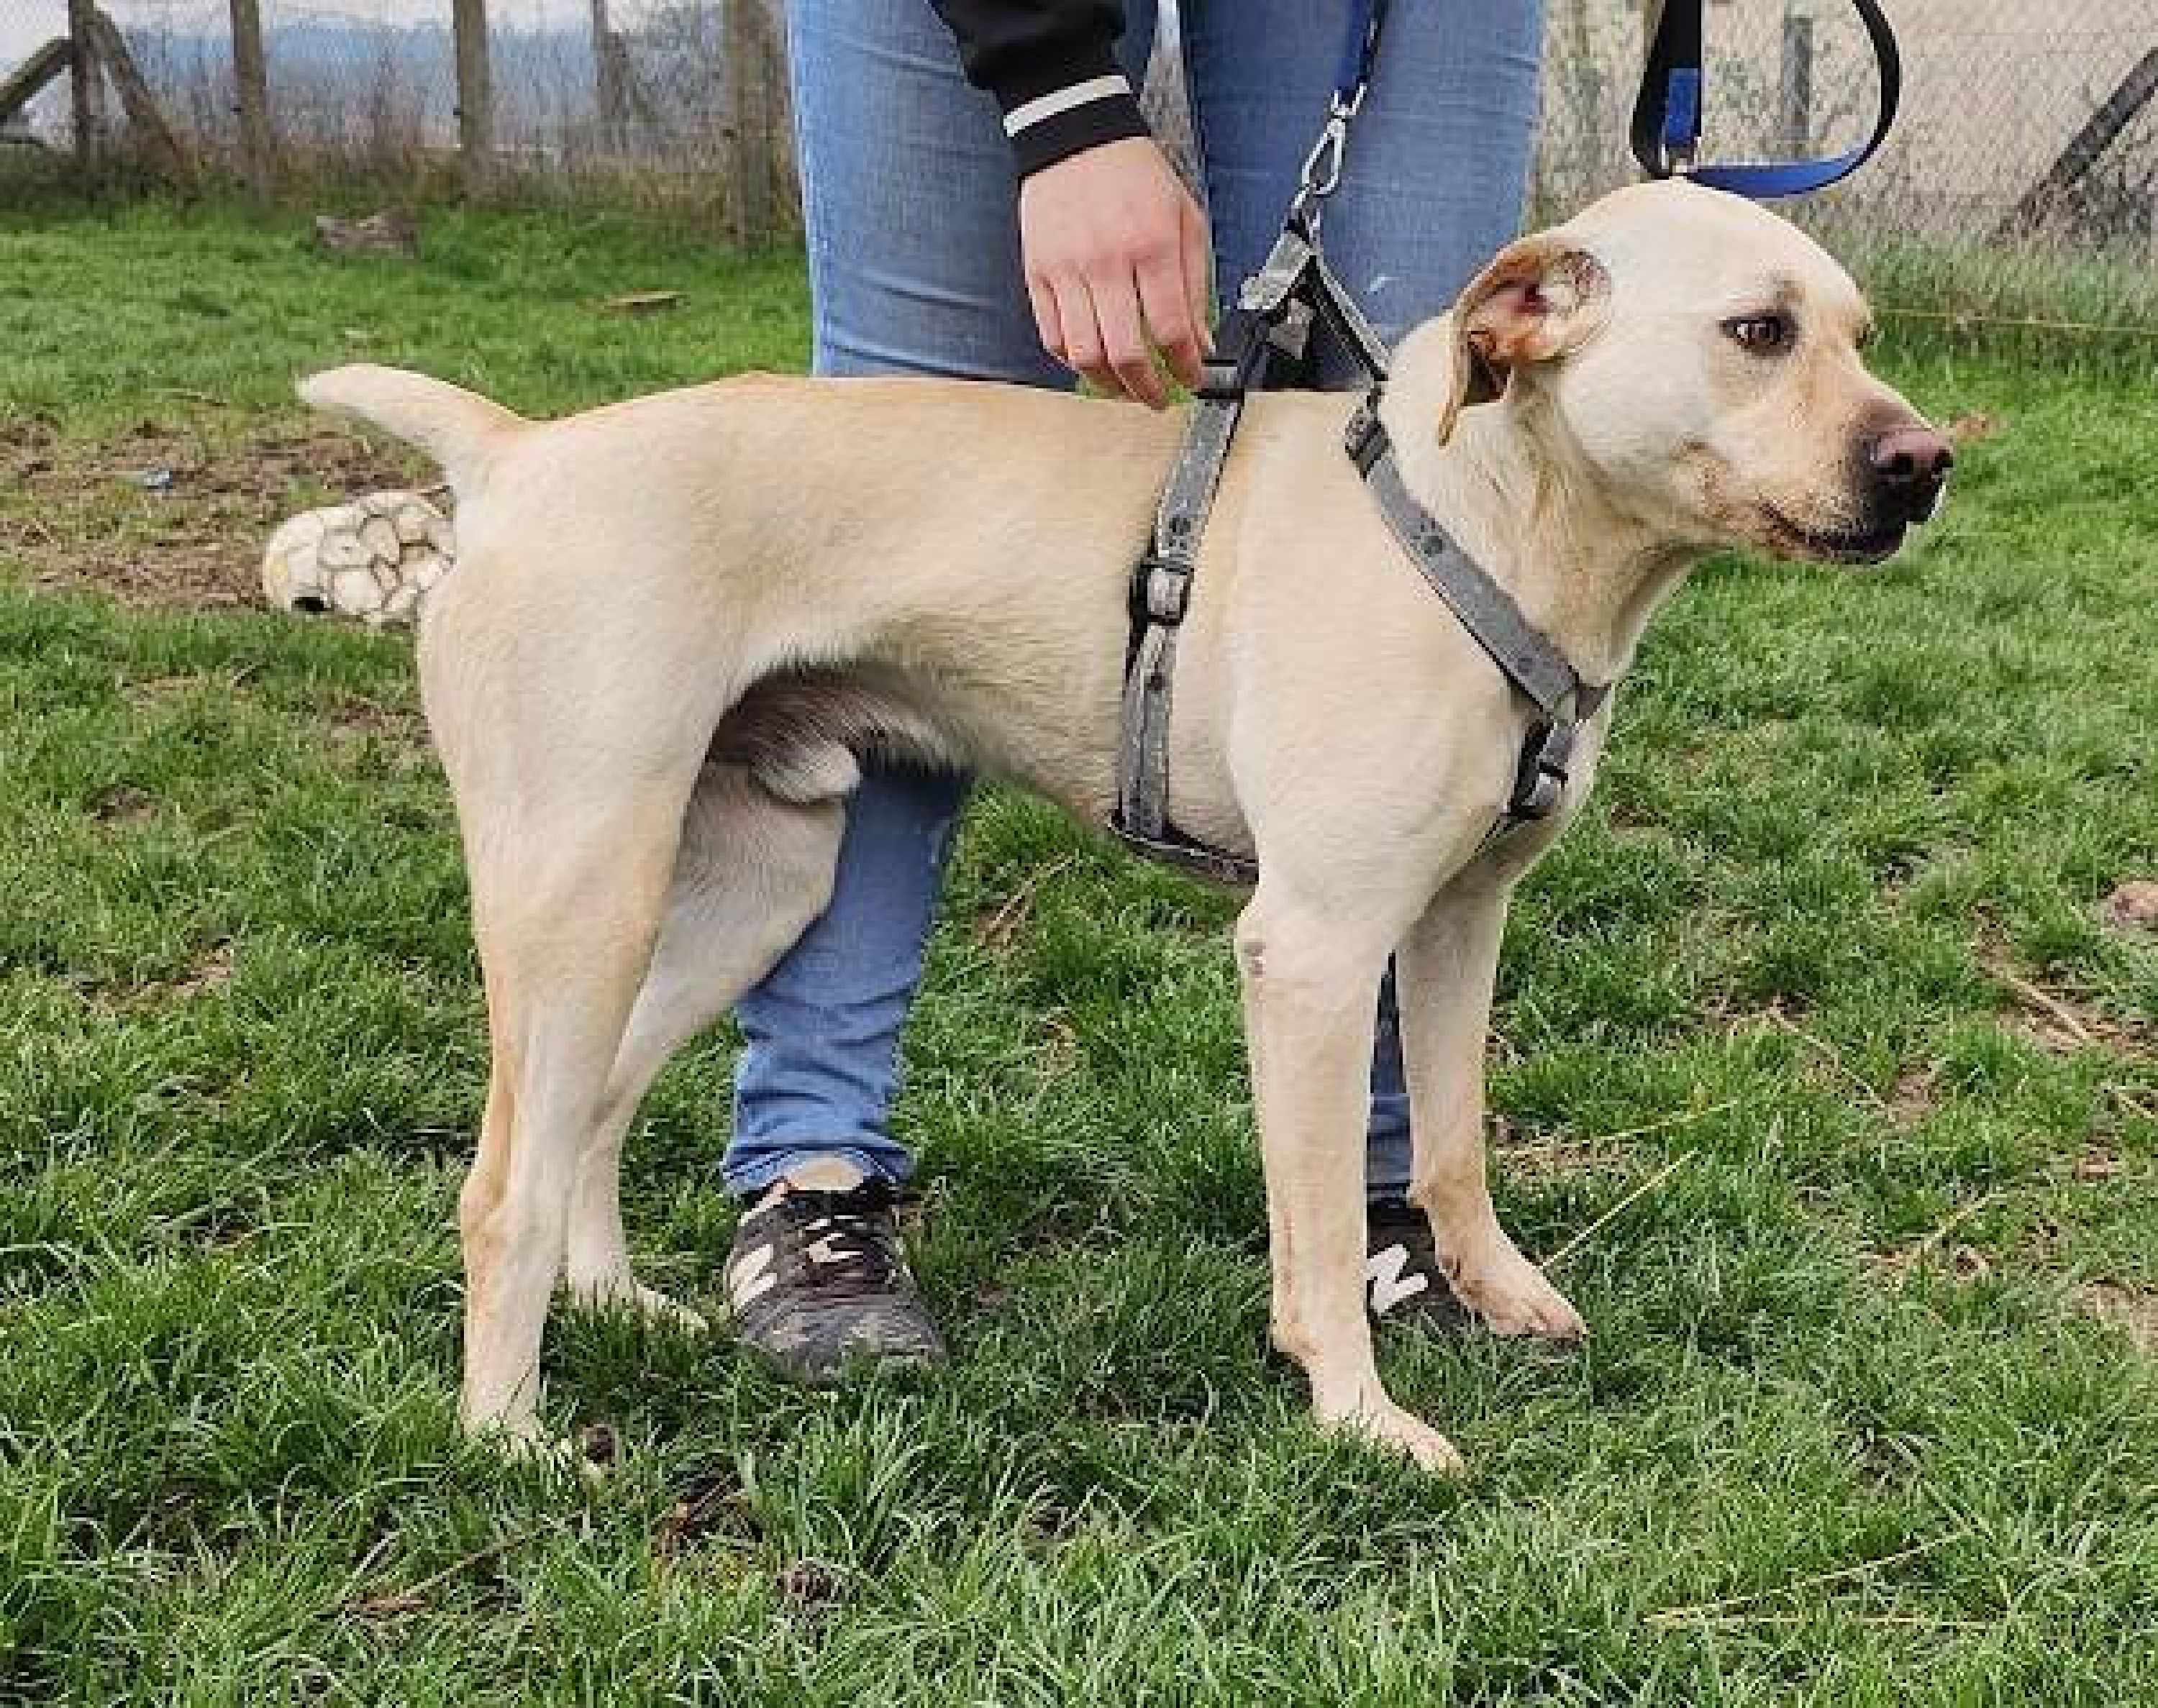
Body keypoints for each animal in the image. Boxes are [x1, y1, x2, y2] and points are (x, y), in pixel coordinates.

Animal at [302, 180, 1951, 1472]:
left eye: (1863, 334)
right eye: (1759, 331)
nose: (1928, 464)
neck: (1487, 526)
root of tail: (520, 452)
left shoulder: (1459, 919)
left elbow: (1455, 1143)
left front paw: (1492, 1292)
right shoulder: (1313, 950)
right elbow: (1318, 1238)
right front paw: (1359, 1417)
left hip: (748, 886)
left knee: (594, 1106)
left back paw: (613, 1303)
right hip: (583, 889)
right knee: (501, 1180)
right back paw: (508, 1439)